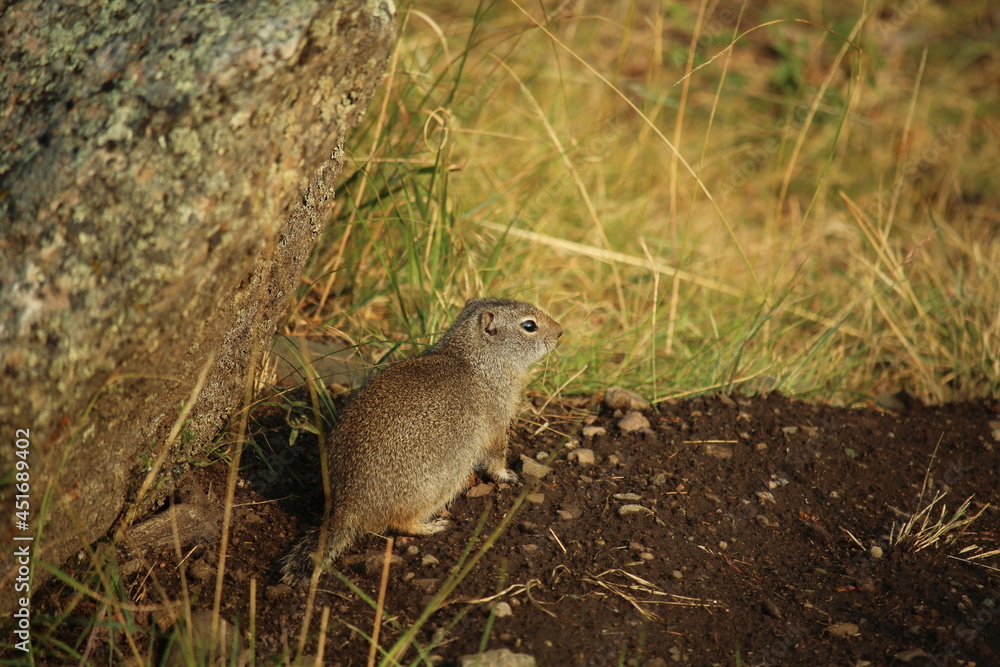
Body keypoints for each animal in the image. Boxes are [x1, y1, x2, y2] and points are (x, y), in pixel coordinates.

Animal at [280, 298, 562, 586]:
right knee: (399, 522)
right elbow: (496, 457)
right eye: (529, 325)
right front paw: (508, 476)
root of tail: (345, 509)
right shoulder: (496, 424)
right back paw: (431, 526)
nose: (560, 332)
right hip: (440, 484)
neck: (475, 359)